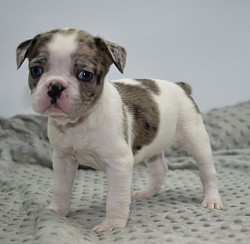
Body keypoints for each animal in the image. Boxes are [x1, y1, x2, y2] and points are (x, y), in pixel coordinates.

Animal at [15, 27, 223, 234]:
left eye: (85, 74)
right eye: (36, 70)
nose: (55, 86)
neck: (81, 121)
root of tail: (181, 86)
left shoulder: (119, 165)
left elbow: (116, 199)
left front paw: (112, 224)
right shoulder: (63, 160)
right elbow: (61, 188)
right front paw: (57, 210)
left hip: (195, 138)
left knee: (207, 171)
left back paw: (212, 199)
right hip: (154, 144)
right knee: (159, 168)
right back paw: (147, 192)